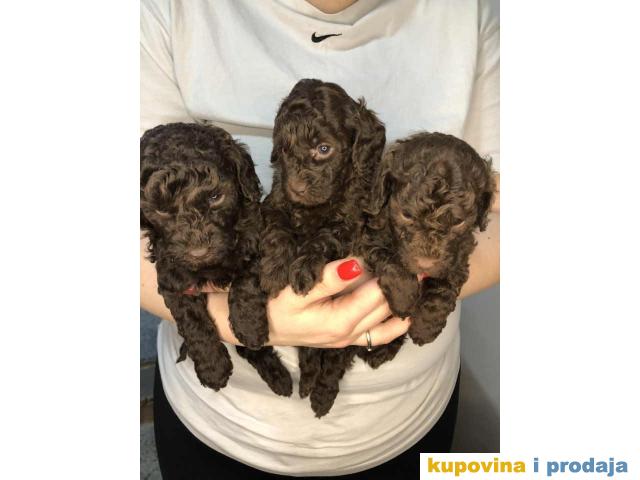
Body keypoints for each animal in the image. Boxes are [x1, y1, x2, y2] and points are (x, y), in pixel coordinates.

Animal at [140, 122, 292, 396]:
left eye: (215, 197)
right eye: (160, 210)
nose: (198, 252)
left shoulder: (256, 237)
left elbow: (247, 281)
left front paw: (249, 326)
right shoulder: (172, 277)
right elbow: (192, 321)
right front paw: (213, 368)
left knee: (251, 351)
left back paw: (278, 376)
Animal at [259, 79, 387, 417]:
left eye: (323, 149)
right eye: (284, 148)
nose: (296, 188)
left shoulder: (351, 224)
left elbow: (325, 238)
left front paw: (303, 266)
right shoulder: (275, 203)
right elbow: (278, 230)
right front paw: (275, 269)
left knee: (334, 358)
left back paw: (321, 394)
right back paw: (307, 382)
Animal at [357, 132, 496, 346]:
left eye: (458, 222)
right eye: (406, 215)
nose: (425, 263)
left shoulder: (459, 254)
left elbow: (444, 284)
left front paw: (426, 326)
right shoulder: (372, 232)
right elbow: (390, 260)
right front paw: (404, 297)